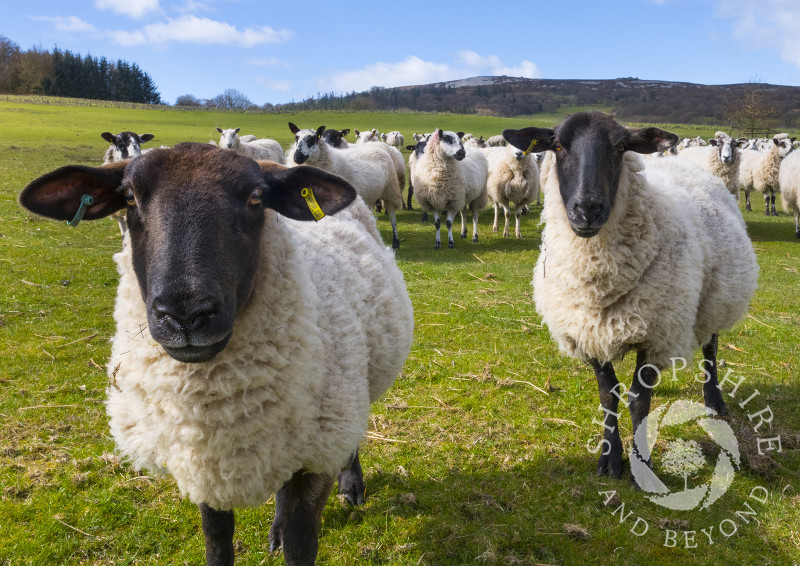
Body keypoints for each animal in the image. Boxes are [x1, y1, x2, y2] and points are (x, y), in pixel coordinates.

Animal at [18, 143, 412, 566]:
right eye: (129, 197)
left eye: (256, 197)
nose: (186, 314)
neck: (216, 407)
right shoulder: (203, 459)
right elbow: (217, 535)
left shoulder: (315, 454)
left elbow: (300, 541)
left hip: (349, 392)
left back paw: (351, 486)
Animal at [504, 113, 760, 486]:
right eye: (558, 146)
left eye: (621, 147)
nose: (587, 210)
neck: (598, 283)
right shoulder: (588, 332)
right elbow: (608, 395)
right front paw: (610, 459)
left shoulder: (655, 335)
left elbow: (639, 403)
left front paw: (643, 466)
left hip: (717, 297)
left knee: (711, 348)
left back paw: (713, 398)